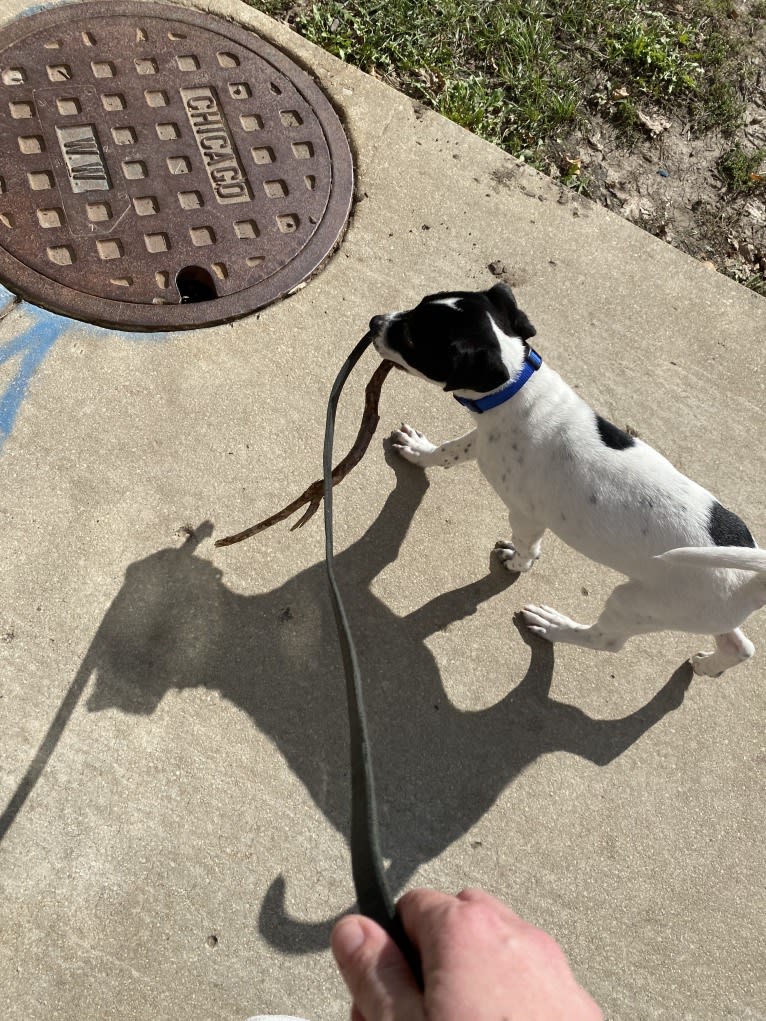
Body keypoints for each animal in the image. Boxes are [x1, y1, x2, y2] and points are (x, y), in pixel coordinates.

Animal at [371, 281, 766, 677]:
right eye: (420, 303)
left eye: (412, 337)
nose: (375, 321)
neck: (517, 389)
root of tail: (754, 579)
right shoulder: (481, 441)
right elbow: (447, 452)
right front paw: (419, 451)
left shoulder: (526, 515)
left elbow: (528, 548)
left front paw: (518, 563)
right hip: (698, 612)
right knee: (740, 646)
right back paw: (711, 665)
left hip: (638, 602)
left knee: (606, 640)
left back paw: (554, 626)